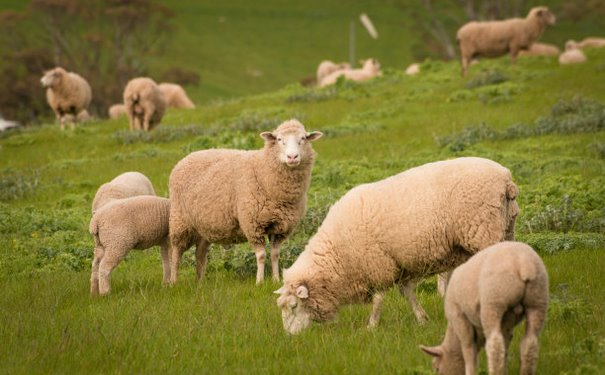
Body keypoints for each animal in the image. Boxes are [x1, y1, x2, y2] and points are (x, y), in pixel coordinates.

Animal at [168, 119, 324, 284]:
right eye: (279, 139)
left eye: (303, 138)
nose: (292, 157)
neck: (264, 172)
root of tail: (186, 158)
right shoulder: (252, 224)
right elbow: (261, 255)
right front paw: (259, 281)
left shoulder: (280, 228)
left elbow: (275, 254)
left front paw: (276, 279)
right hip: (179, 220)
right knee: (176, 252)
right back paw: (173, 281)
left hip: (203, 225)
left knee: (200, 252)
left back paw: (199, 282)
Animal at [276, 157, 516, 336]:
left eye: (294, 306)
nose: (290, 337)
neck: (337, 256)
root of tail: (506, 178)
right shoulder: (402, 265)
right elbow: (407, 292)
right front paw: (422, 319)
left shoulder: (378, 264)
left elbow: (379, 298)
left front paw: (371, 326)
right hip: (506, 228)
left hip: (484, 232)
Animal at [420, 241, 548, 375]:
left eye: (438, 369)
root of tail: (523, 264)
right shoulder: (506, 324)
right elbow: (505, 346)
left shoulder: (459, 317)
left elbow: (468, 348)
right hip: (538, 302)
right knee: (530, 344)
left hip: (492, 304)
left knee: (495, 345)